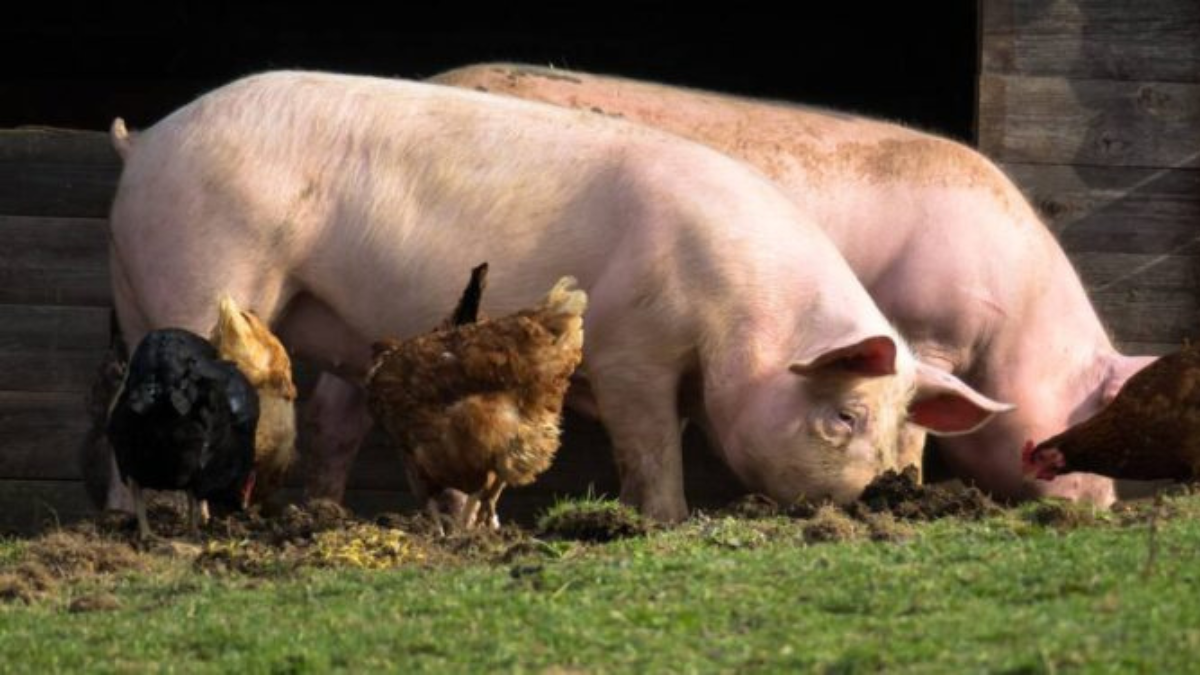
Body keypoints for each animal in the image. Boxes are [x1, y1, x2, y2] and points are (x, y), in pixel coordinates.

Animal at [101, 71, 1008, 522]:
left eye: (899, 425)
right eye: (844, 416)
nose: (886, 495)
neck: (740, 312)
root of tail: (148, 140)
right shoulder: (631, 349)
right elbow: (652, 447)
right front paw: (664, 520)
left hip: (139, 287)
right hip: (208, 263)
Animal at [429, 62, 1161, 505]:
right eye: (1091, 414)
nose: (1103, 504)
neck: (1014, 324)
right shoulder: (925, 331)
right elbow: (914, 426)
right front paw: (910, 486)